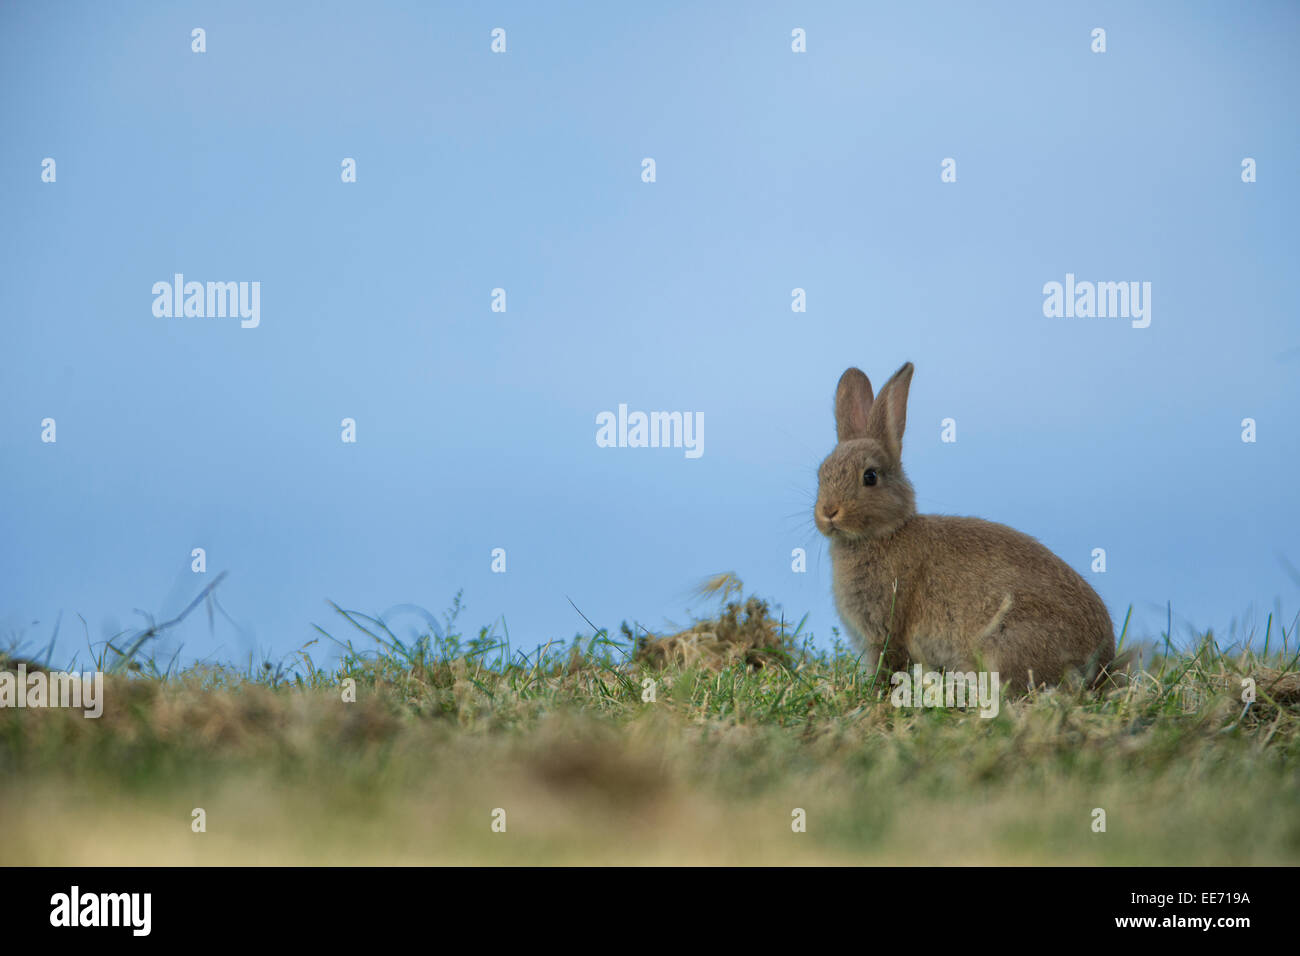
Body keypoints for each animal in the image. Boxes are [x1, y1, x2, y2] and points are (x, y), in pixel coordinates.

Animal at [815, 361, 1116, 690]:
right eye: (821, 473)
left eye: (870, 476)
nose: (828, 512)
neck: (884, 533)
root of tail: (1102, 666)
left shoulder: (886, 629)